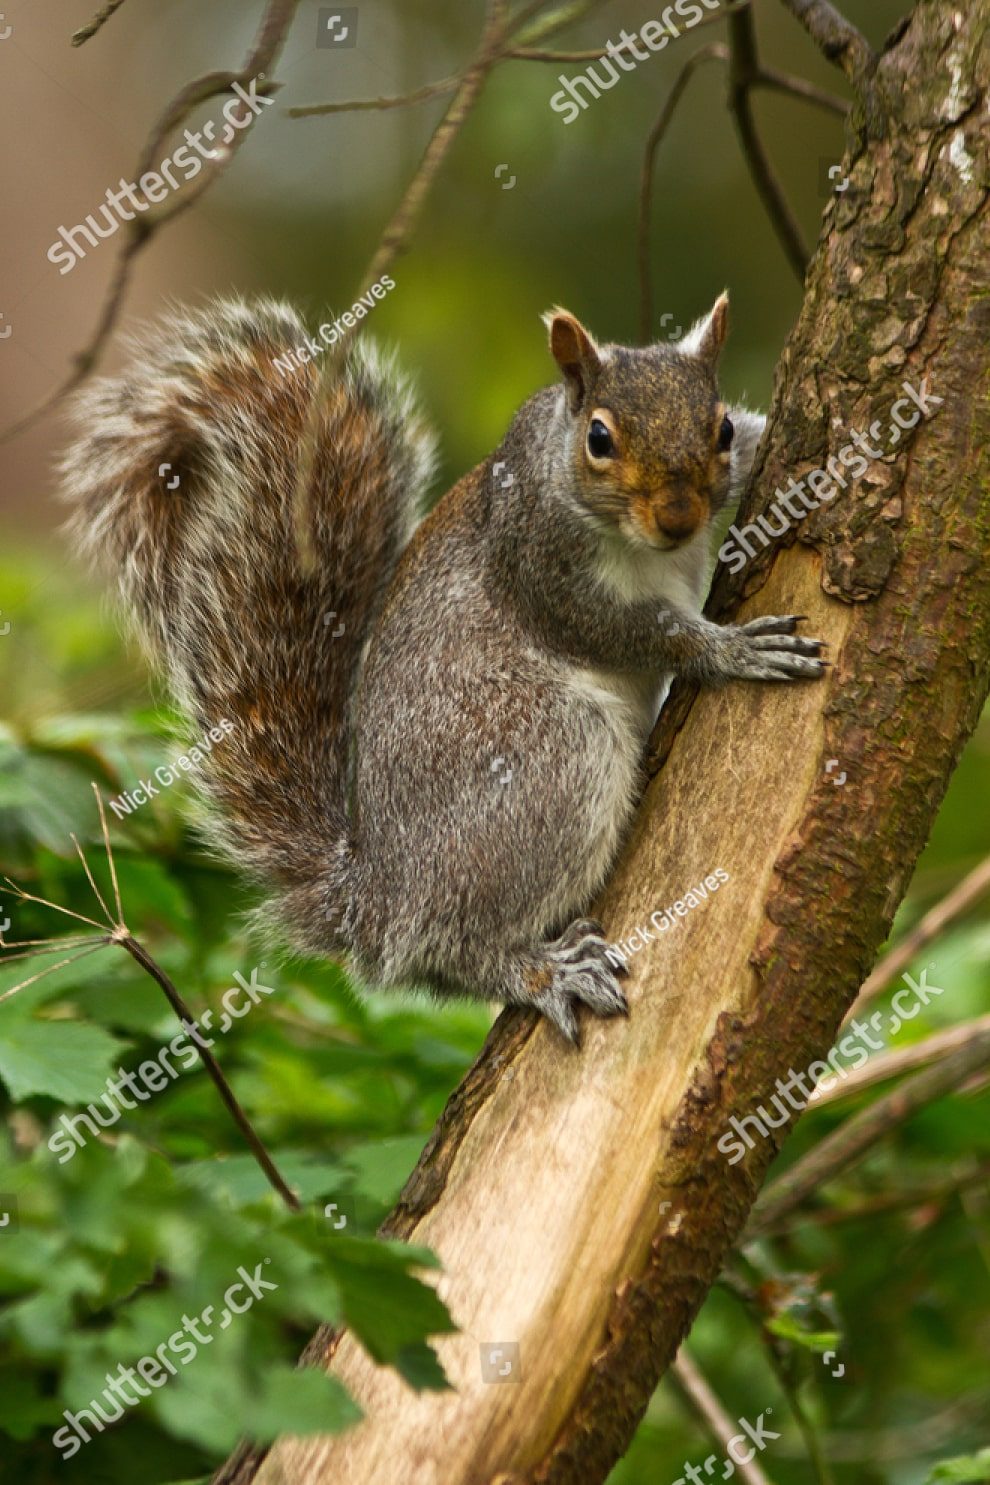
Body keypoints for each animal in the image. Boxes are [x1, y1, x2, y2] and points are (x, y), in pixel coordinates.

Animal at [59, 293, 826, 1044]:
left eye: (718, 427)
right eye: (599, 439)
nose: (678, 517)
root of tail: (373, 901)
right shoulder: (538, 564)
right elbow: (627, 631)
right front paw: (730, 649)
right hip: (543, 756)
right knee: (451, 948)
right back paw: (540, 972)